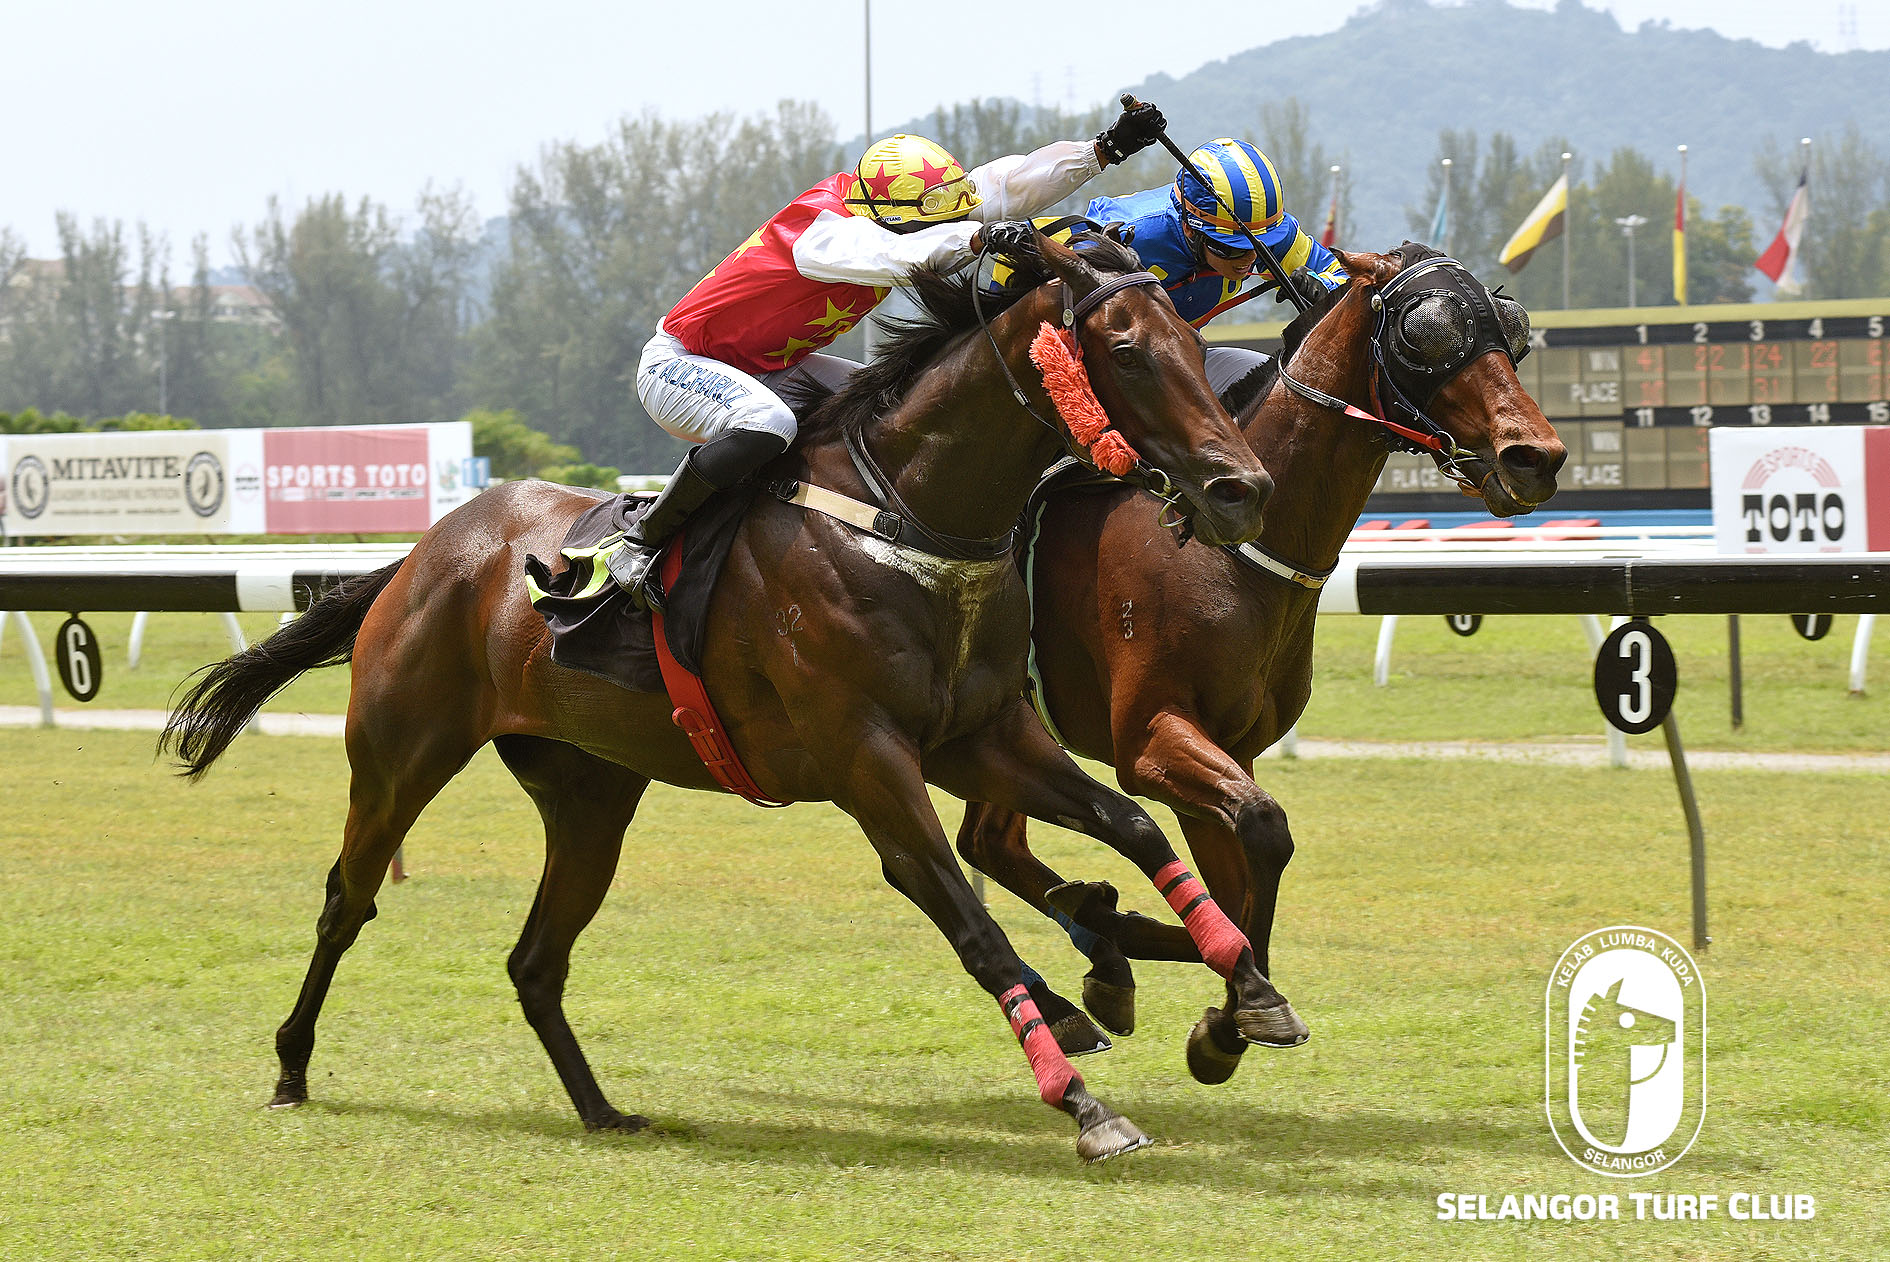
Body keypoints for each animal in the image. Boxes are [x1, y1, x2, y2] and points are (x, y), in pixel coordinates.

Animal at [166, 229, 1285, 1163]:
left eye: (1196, 341)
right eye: (1127, 350)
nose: (1242, 489)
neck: (902, 517)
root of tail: (427, 549)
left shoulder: (982, 733)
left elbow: (1133, 825)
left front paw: (1245, 988)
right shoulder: (868, 759)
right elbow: (973, 923)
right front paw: (1087, 1104)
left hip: (590, 796)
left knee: (535, 959)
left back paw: (601, 1107)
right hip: (402, 755)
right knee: (346, 899)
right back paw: (291, 1065)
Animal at [960, 243, 1564, 1088]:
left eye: (1510, 328)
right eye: (1427, 331)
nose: (1535, 455)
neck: (1232, 551)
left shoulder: (1228, 747)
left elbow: (1236, 883)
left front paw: (1219, 1009)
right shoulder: (1150, 740)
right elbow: (1263, 832)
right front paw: (1232, 1015)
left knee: (989, 842)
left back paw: (1095, 950)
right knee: (987, 843)